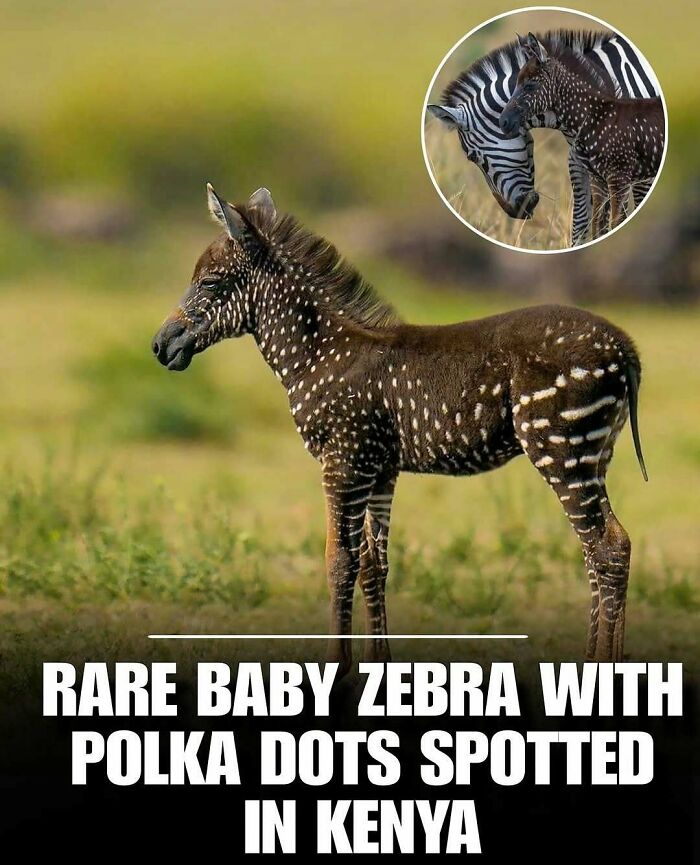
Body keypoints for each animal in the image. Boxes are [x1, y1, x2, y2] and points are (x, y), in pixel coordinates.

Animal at [152, 185, 648, 676]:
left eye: (210, 282)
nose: (160, 346)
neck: (317, 355)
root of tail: (623, 345)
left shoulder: (344, 462)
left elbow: (339, 562)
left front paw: (338, 672)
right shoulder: (379, 468)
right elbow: (374, 566)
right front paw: (378, 669)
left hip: (561, 449)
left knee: (607, 547)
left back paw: (605, 668)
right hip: (594, 454)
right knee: (603, 549)